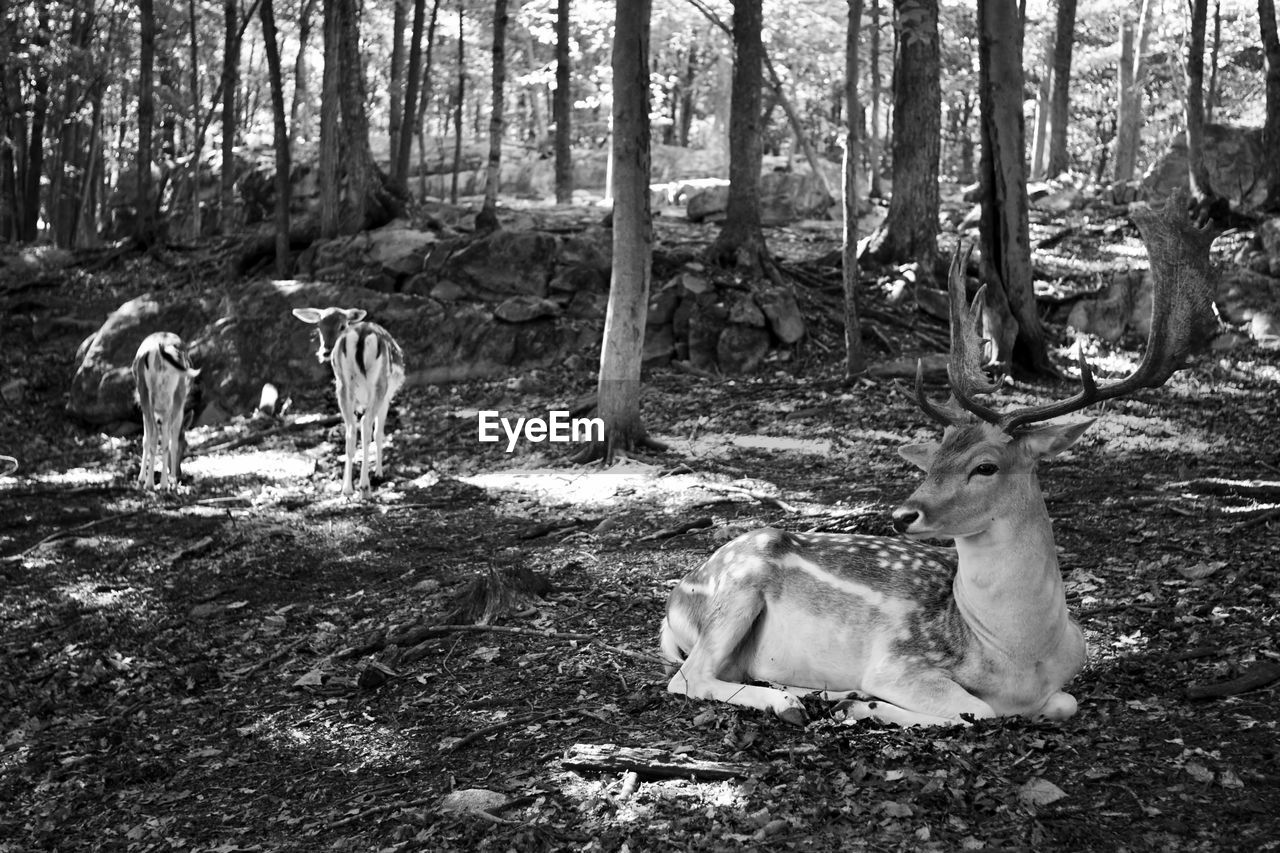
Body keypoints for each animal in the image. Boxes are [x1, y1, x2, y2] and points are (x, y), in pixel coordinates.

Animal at [133, 333, 200, 491]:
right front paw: (172, 480)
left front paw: (141, 479)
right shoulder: (179, 407)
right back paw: (164, 483)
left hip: (145, 395)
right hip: (175, 396)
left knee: (153, 436)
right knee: (166, 438)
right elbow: (172, 441)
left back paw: (149, 483)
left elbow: (146, 439)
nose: (180, 473)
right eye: (186, 445)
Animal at [293, 306, 404, 499]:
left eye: (342, 325)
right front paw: (379, 473)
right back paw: (365, 486)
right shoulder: (387, 397)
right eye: (319, 326)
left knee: (351, 430)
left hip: (343, 385)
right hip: (379, 385)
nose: (326, 351)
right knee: (366, 425)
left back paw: (347, 488)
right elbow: (379, 433)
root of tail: (360, 336)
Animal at [660, 194, 1218, 722]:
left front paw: (851, 701)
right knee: (688, 677)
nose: (902, 514)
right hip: (736, 591)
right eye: (932, 463)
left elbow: (1065, 703)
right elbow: (975, 709)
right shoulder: (898, 661)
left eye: (985, 465)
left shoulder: (1058, 686)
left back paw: (820, 694)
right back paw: (795, 703)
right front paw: (863, 705)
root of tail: (677, 598)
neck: (1019, 654)